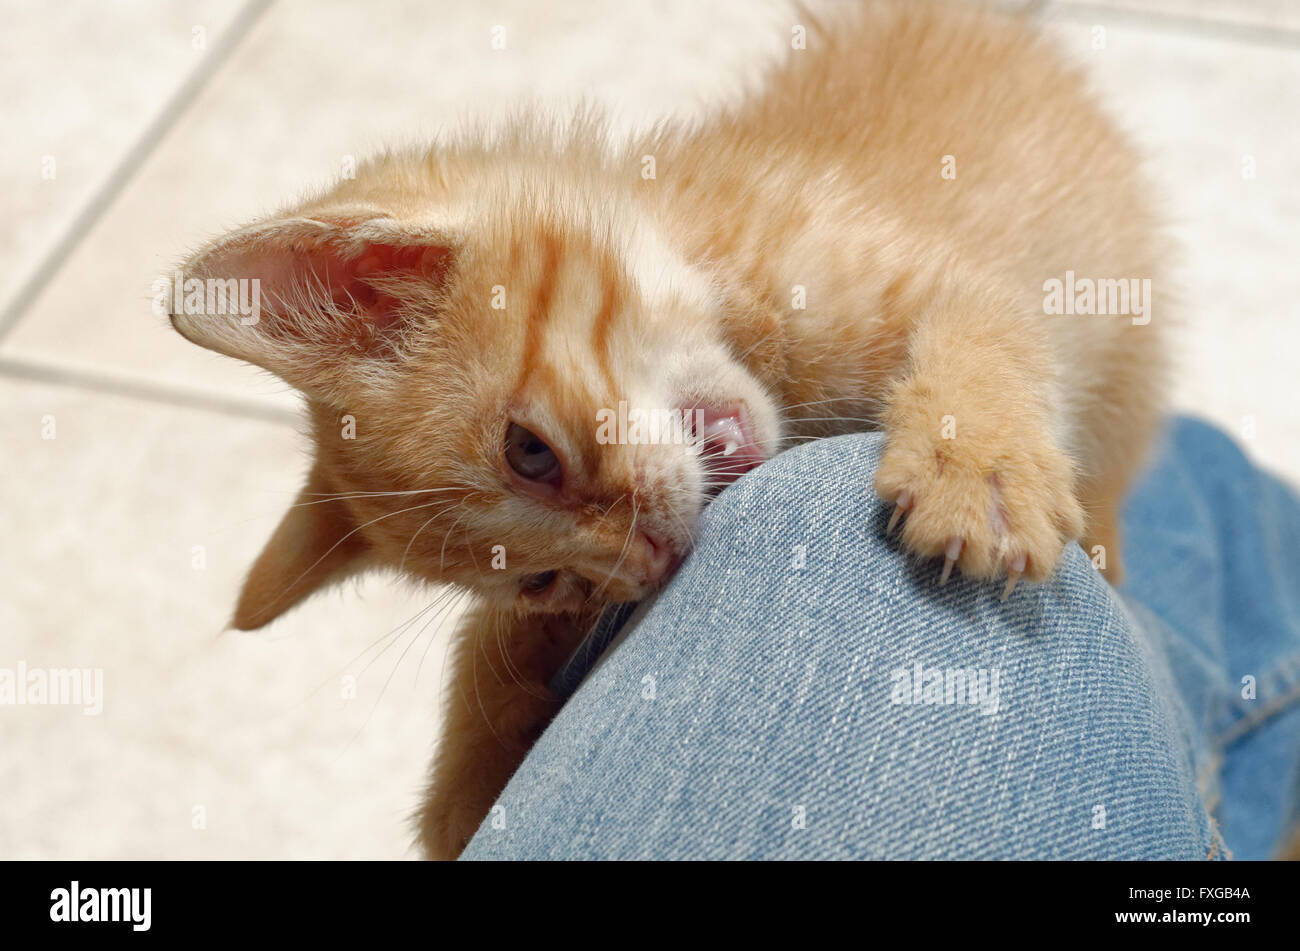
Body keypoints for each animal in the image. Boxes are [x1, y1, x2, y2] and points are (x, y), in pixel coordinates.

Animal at [170, 1, 1170, 862]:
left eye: (530, 453)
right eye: (545, 581)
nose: (650, 557)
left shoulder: (959, 275)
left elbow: (985, 332)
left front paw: (978, 463)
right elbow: (490, 646)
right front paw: (471, 771)